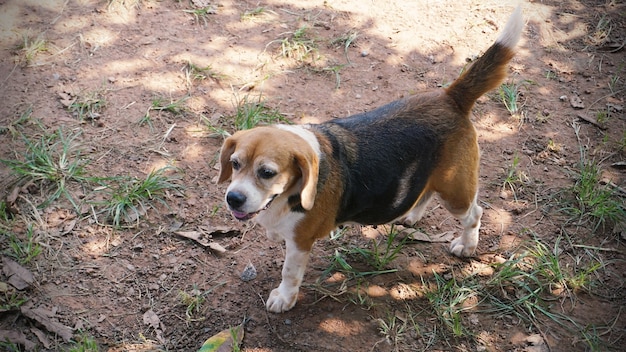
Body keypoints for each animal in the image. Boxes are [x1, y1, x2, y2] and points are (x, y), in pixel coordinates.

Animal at [217, 6, 520, 312]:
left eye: (267, 172)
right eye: (235, 164)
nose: (233, 199)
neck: (286, 195)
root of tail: (451, 97)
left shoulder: (300, 242)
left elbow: (289, 273)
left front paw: (283, 298)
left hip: (455, 191)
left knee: (474, 214)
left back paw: (467, 245)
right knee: (424, 192)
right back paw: (412, 214)